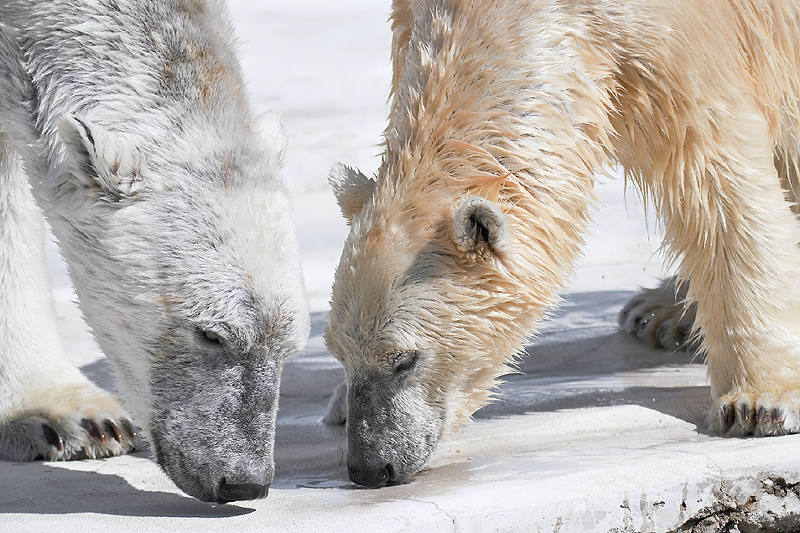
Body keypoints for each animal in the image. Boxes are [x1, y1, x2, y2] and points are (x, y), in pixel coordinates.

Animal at [322, 0, 800, 486]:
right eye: (338, 351)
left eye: (405, 358)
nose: (369, 467)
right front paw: (340, 400)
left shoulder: (679, 44)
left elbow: (717, 182)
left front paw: (757, 404)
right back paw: (661, 313)